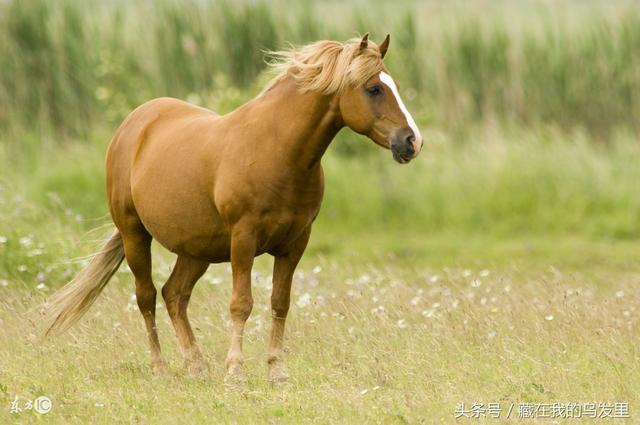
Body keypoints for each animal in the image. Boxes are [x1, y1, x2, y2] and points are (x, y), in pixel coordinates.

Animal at [42, 34, 422, 382]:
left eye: (392, 85)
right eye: (373, 88)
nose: (411, 141)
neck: (277, 150)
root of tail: (135, 124)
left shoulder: (295, 243)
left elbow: (280, 303)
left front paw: (276, 370)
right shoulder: (244, 238)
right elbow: (241, 304)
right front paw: (235, 370)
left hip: (196, 250)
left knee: (174, 295)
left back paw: (195, 366)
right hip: (135, 235)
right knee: (147, 297)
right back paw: (160, 368)